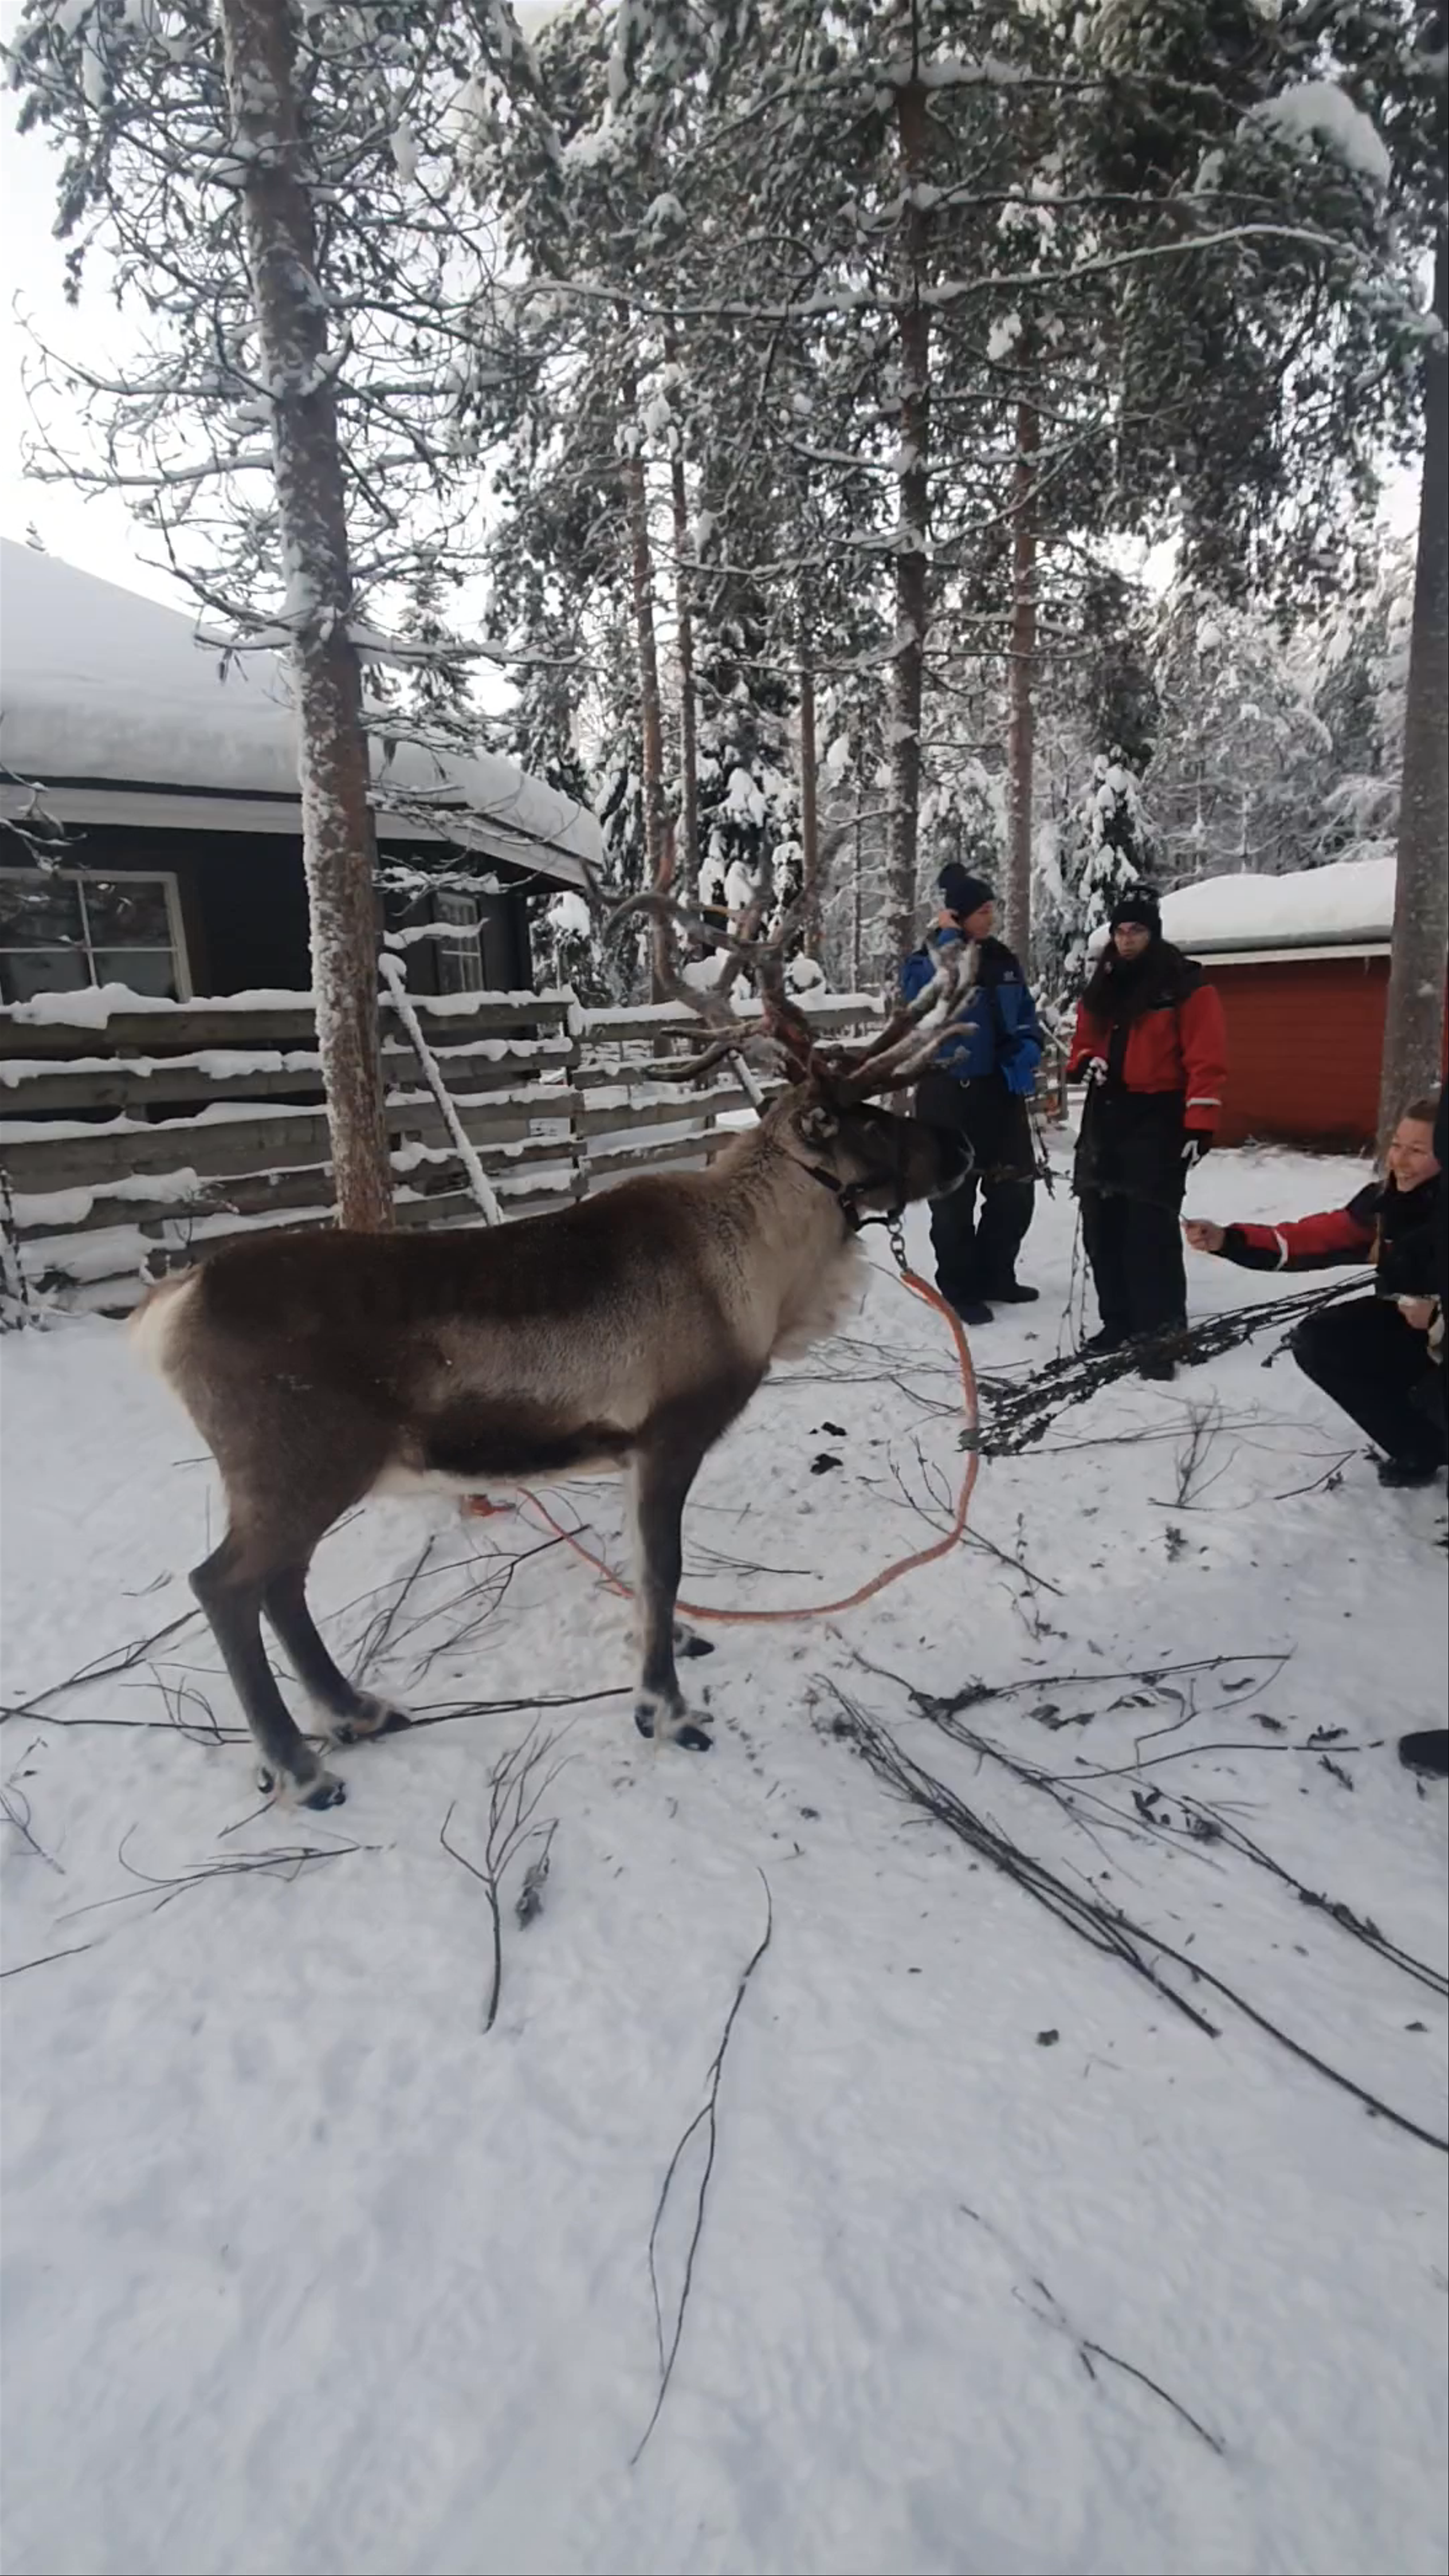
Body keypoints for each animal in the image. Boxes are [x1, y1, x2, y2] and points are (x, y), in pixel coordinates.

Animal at [129, 907, 980, 1809]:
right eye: (872, 1118)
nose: (962, 1145)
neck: (760, 1269)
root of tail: (171, 1307)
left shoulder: (630, 1452)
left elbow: (640, 1563)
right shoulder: (672, 1432)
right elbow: (664, 1566)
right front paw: (666, 1708)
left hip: (305, 1475)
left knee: (281, 1583)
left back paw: (357, 1711)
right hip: (298, 1464)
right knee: (225, 1583)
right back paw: (301, 1765)